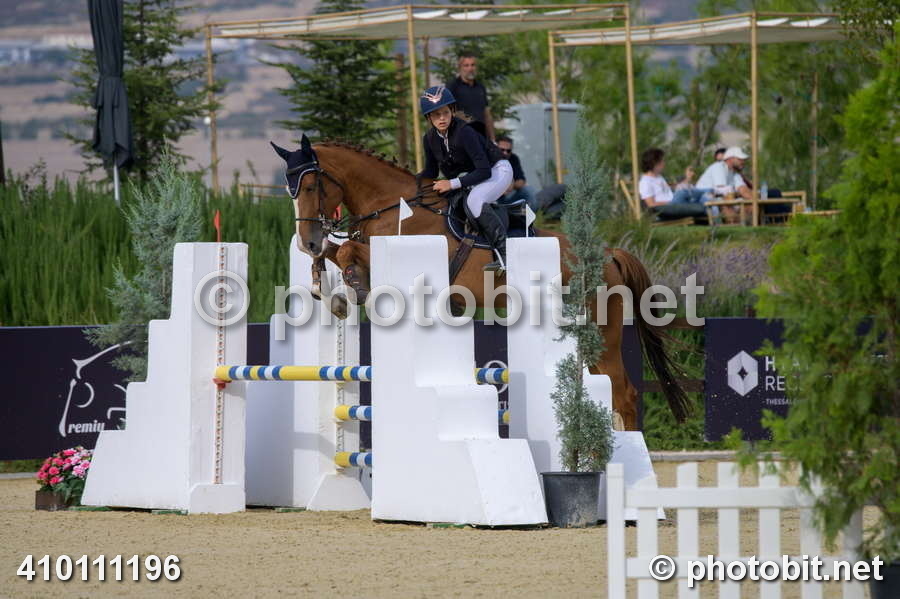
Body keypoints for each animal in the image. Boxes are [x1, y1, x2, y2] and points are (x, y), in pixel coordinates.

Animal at [270, 135, 690, 430]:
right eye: (290, 190)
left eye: (311, 187)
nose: (305, 241)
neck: (390, 204)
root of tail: (610, 254)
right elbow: (334, 252)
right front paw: (326, 290)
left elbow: (346, 252)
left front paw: (351, 290)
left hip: (603, 331)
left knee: (624, 394)